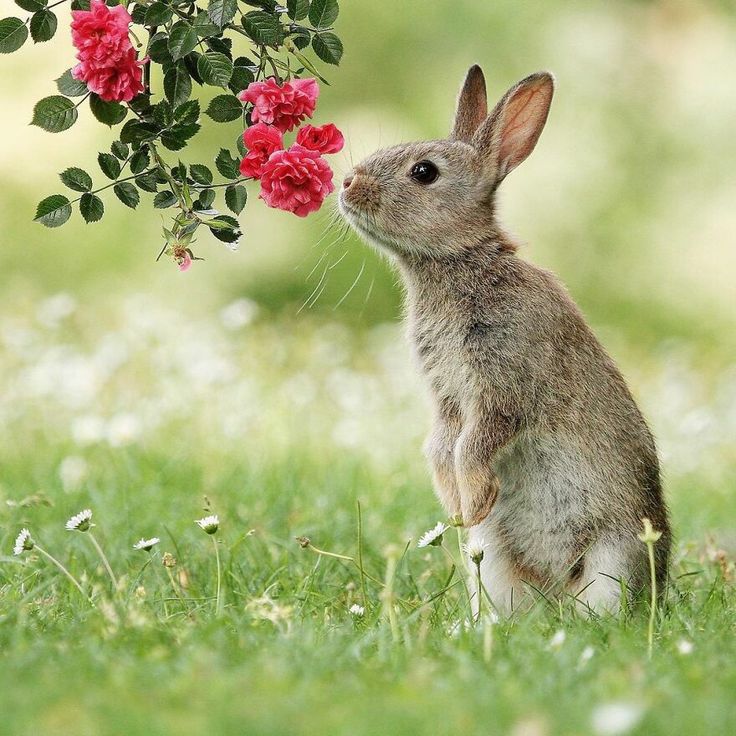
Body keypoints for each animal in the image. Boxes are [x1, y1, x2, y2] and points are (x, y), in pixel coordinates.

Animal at [340, 66, 672, 616]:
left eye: (424, 172)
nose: (346, 183)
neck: (460, 261)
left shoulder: (503, 381)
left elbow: (476, 443)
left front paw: (471, 503)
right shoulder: (448, 398)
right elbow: (441, 445)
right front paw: (458, 508)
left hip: (615, 556)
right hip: (493, 561)